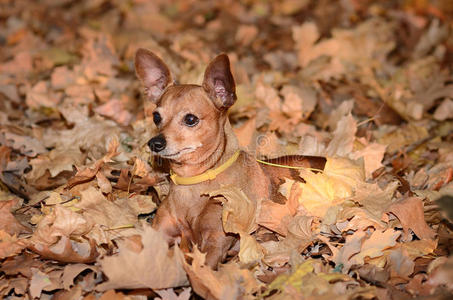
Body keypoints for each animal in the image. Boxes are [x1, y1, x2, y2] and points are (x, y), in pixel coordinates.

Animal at [134, 49, 324, 268]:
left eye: (190, 119)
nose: (155, 143)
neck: (193, 182)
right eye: (156, 117)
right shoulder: (158, 233)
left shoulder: (215, 242)